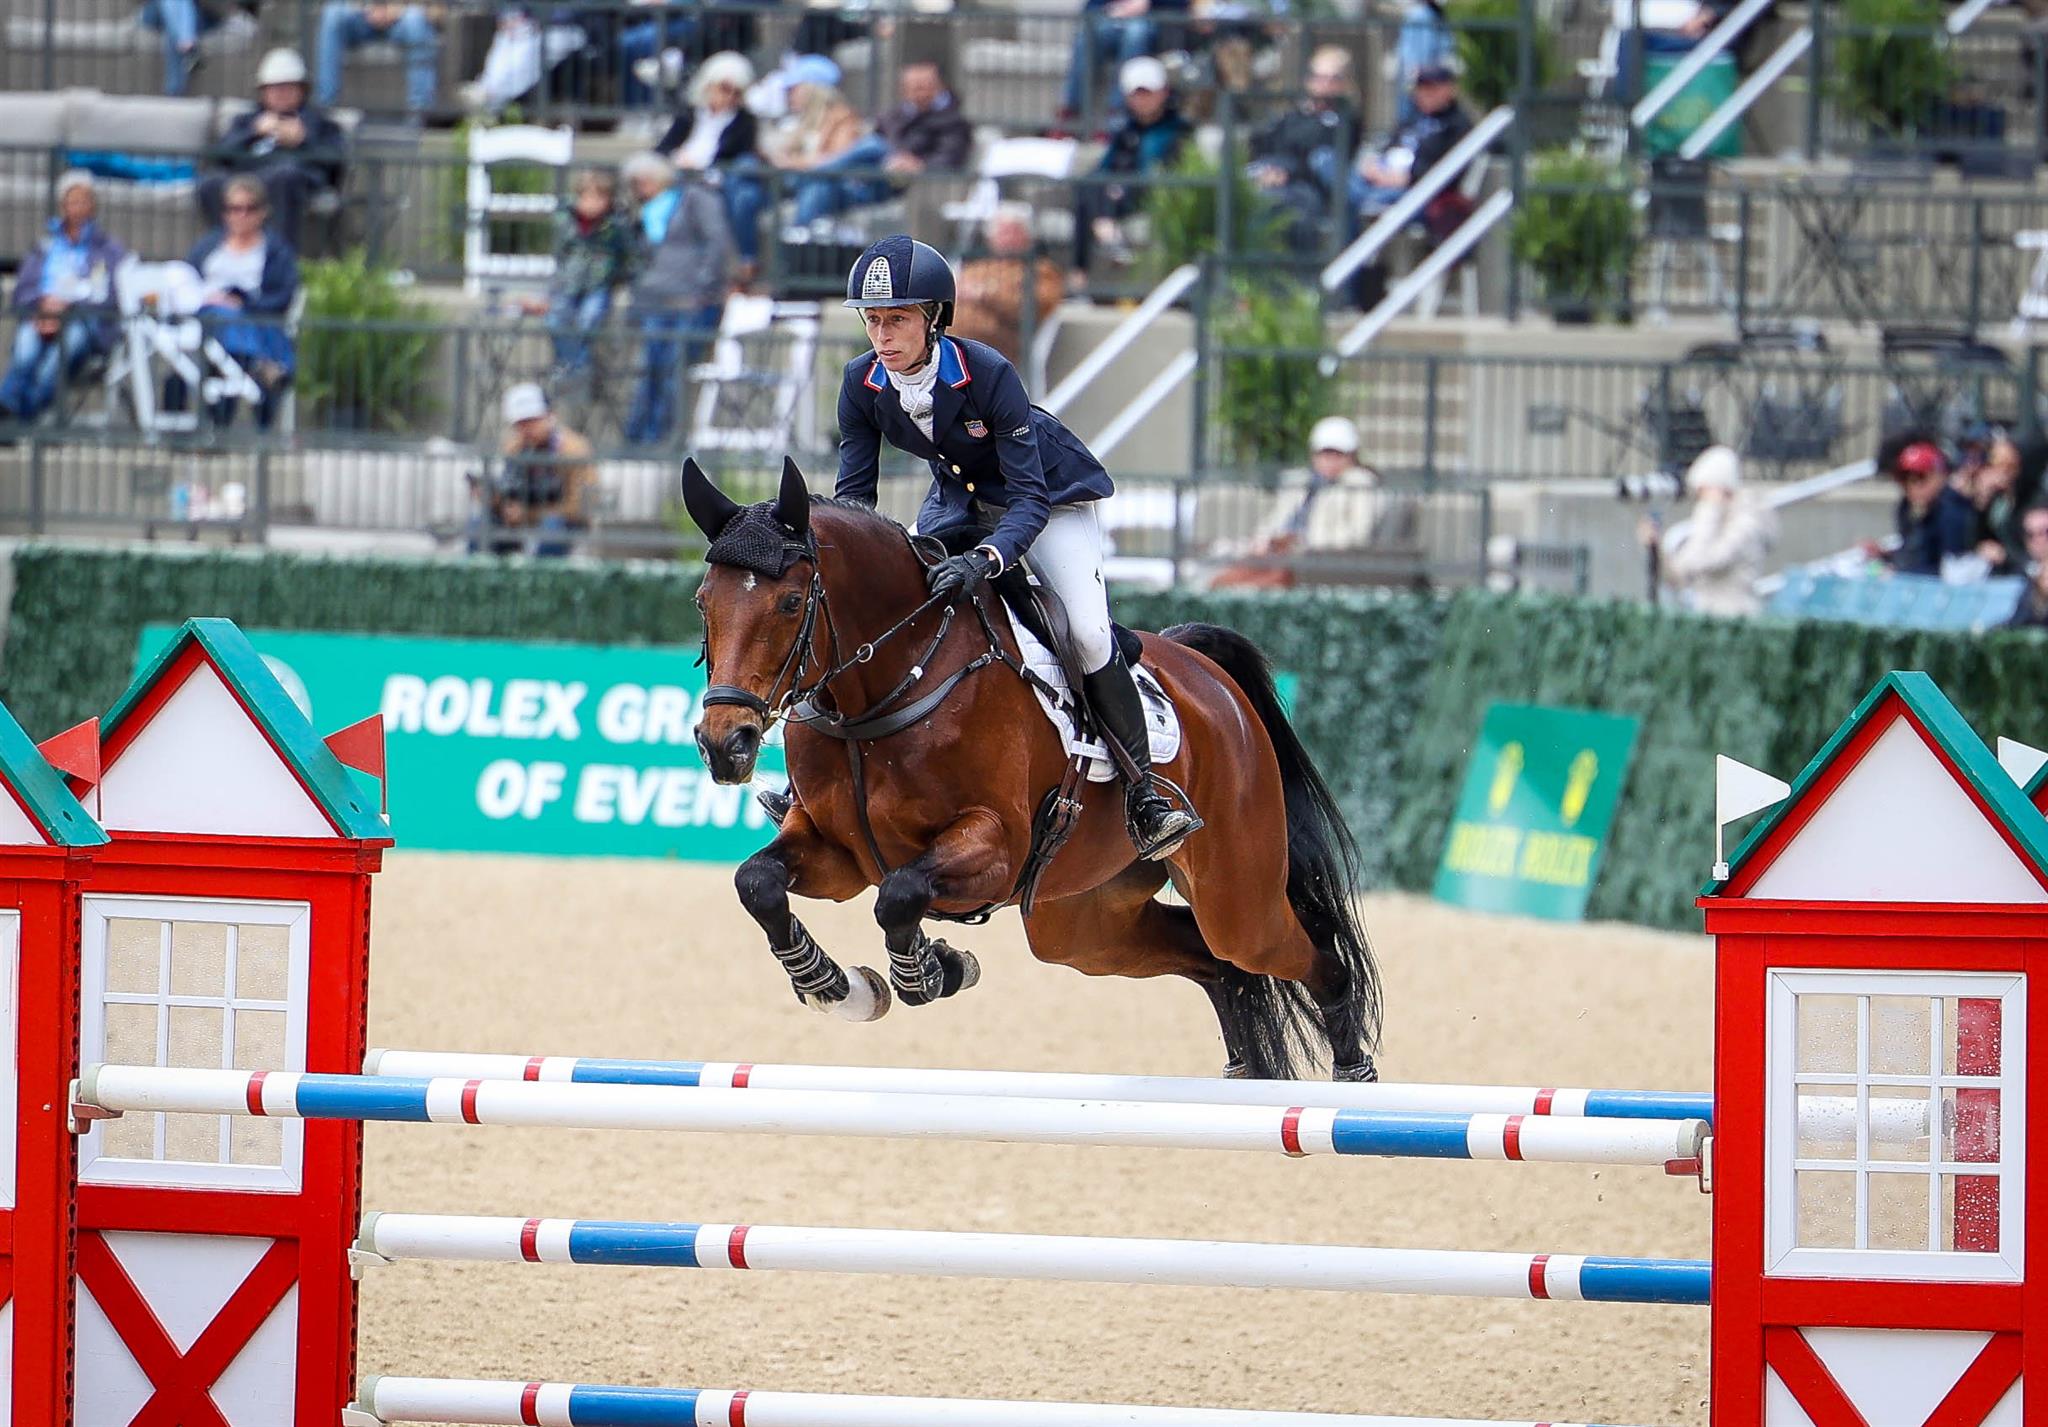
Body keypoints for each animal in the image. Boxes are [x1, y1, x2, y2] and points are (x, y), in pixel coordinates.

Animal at [684, 458, 1376, 1080]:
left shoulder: (996, 846)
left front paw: (933, 970)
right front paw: (838, 985)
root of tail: (1208, 675)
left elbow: (900, 894)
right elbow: (758, 882)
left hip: (1237, 896)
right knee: (1217, 965)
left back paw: (1354, 1075)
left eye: (790, 602)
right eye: (702, 602)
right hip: (1081, 924)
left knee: (1306, 958)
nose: (726, 745)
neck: (885, 690)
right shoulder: (839, 853)